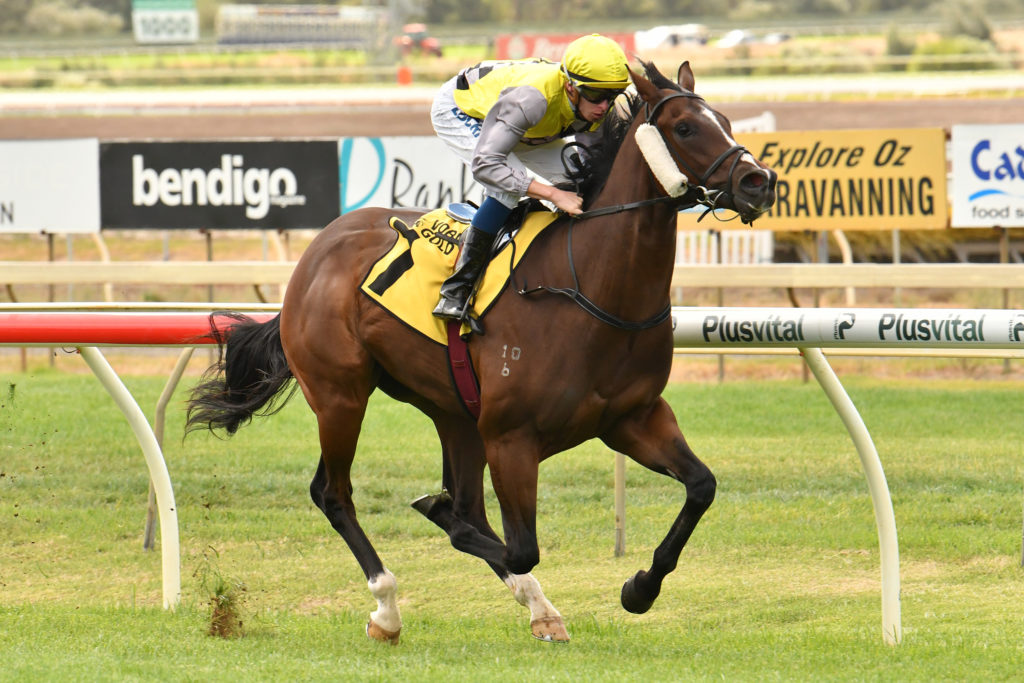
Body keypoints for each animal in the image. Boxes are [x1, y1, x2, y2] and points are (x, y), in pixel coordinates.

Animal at [186, 59, 777, 644]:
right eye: (685, 127)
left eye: (726, 120)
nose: (759, 181)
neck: (592, 287)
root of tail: (318, 250)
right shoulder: (511, 437)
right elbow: (514, 545)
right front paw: (446, 522)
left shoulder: (632, 418)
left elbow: (701, 486)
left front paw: (639, 588)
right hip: (340, 396)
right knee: (334, 493)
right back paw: (388, 609)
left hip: (453, 412)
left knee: (458, 501)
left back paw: (530, 604)